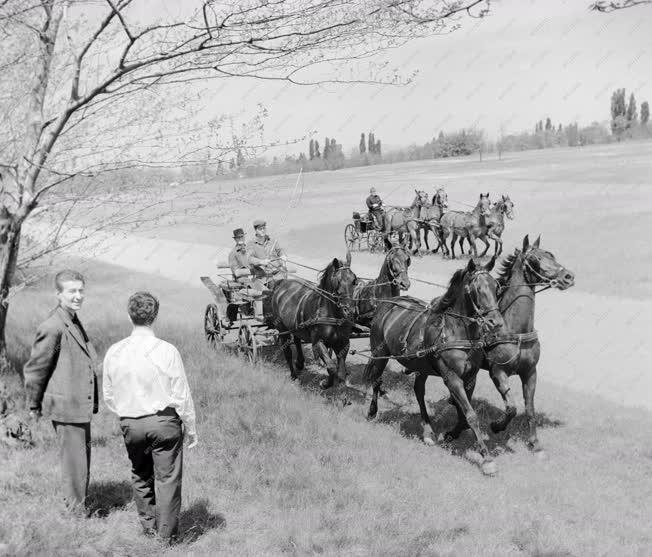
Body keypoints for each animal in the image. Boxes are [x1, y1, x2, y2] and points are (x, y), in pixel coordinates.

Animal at [268, 252, 360, 386]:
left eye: (354, 280)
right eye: (337, 281)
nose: (349, 311)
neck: (332, 315)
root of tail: (281, 283)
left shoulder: (343, 342)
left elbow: (341, 371)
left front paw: (336, 381)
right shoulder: (317, 342)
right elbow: (331, 367)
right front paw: (325, 384)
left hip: (295, 326)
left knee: (297, 340)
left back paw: (300, 363)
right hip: (282, 328)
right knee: (288, 353)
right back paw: (294, 375)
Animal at [362, 256, 504, 474]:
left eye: (497, 287)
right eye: (477, 288)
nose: (495, 322)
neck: (456, 332)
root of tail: (388, 304)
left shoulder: (470, 378)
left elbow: (464, 415)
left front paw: (451, 434)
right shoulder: (452, 378)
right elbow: (471, 415)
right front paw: (487, 459)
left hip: (422, 366)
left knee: (418, 390)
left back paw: (428, 431)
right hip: (380, 353)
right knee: (376, 380)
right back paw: (372, 411)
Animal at [476, 235, 572, 452]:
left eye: (552, 255)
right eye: (536, 258)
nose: (568, 277)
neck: (514, 331)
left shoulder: (530, 372)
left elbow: (529, 407)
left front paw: (534, 442)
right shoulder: (497, 372)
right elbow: (511, 407)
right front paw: (496, 426)